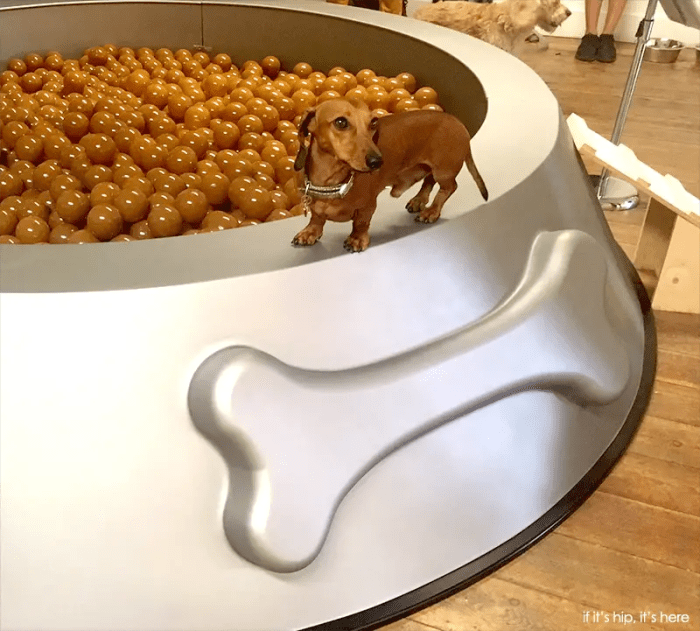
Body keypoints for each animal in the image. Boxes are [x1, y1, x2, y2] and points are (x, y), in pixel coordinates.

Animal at [292, 98, 488, 253]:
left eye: (373, 123)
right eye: (341, 122)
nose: (377, 162)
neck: (334, 183)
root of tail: (458, 123)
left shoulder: (368, 206)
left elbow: (361, 223)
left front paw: (357, 239)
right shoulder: (316, 207)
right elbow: (317, 218)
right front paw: (310, 232)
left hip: (444, 171)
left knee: (449, 188)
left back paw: (432, 211)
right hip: (431, 168)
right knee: (429, 180)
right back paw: (419, 200)